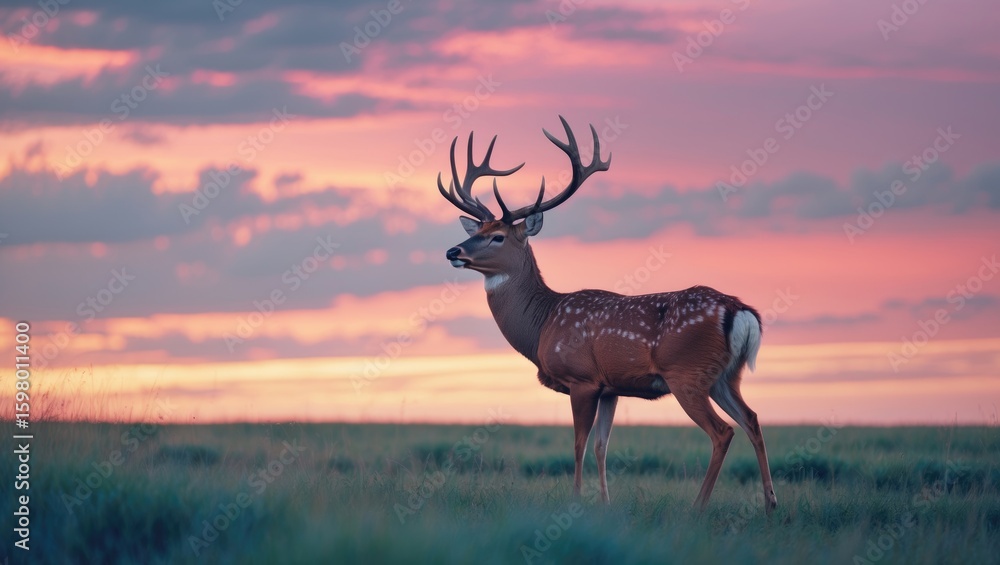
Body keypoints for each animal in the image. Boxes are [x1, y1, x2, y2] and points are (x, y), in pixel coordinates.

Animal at [437, 116, 777, 513]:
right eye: (479, 229)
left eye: (499, 237)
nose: (453, 251)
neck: (543, 325)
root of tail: (741, 311)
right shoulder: (610, 387)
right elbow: (602, 446)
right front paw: (604, 502)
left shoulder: (581, 378)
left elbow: (579, 444)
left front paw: (575, 501)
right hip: (725, 375)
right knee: (753, 420)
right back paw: (771, 505)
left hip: (687, 374)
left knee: (723, 431)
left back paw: (698, 506)